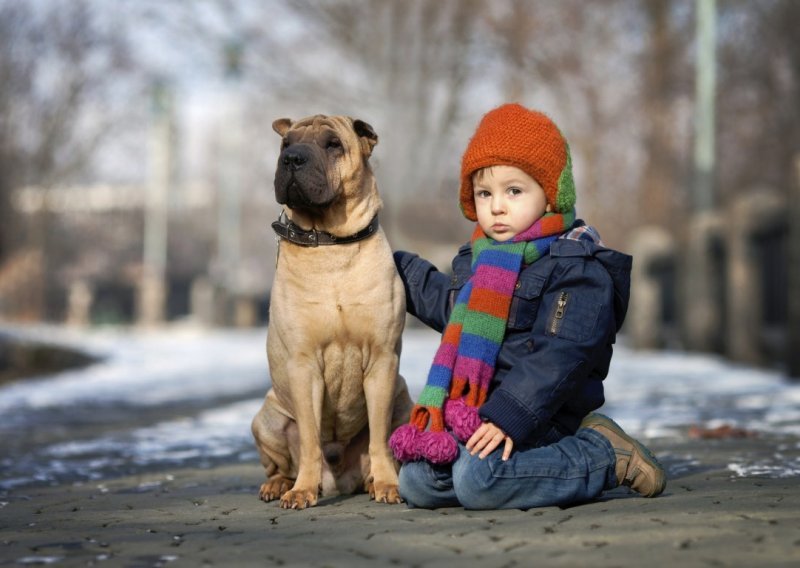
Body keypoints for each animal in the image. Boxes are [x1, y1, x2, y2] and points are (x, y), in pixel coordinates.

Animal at [252, 113, 412, 508]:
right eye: (286, 143)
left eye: (333, 144)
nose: (292, 159)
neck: (330, 244)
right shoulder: (304, 364)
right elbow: (310, 439)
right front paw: (302, 491)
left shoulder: (382, 360)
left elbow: (379, 437)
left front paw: (388, 485)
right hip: (267, 419)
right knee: (280, 464)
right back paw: (279, 485)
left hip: (404, 401)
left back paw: (371, 482)